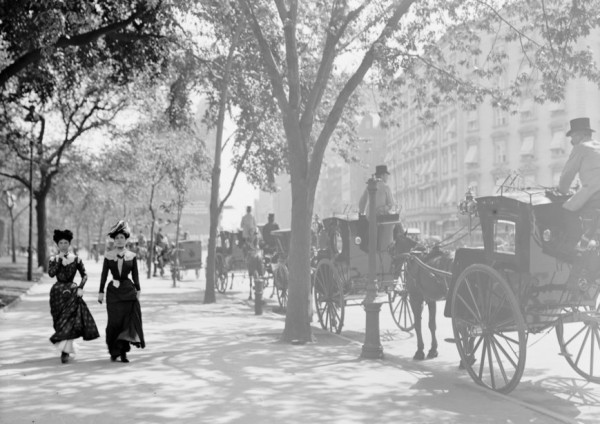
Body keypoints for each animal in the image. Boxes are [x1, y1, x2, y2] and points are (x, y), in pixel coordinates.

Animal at [392, 232, 452, 362]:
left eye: (394, 246)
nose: (393, 264)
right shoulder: (431, 299)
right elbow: (432, 325)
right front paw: (433, 349)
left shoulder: (415, 298)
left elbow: (417, 325)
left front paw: (419, 351)